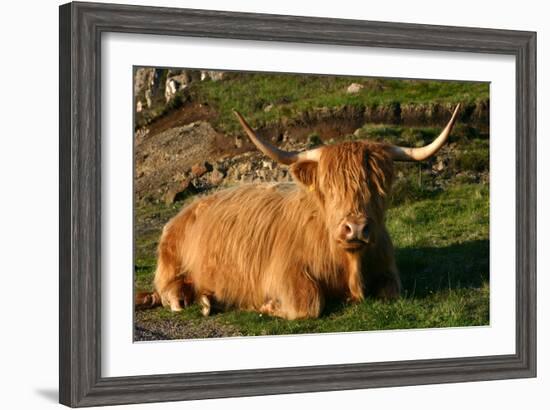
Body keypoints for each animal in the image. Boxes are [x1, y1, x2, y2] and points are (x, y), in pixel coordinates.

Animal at [139, 104, 462, 318]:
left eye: (378, 185)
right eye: (329, 188)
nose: (356, 228)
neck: (349, 264)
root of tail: (185, 210)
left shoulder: (388, 268)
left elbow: (391, 292)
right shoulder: (283, 273)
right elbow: (308, 303)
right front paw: (269, 305)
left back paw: (209, 299)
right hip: (170, 262)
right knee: (168, 291)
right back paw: (190, 300)